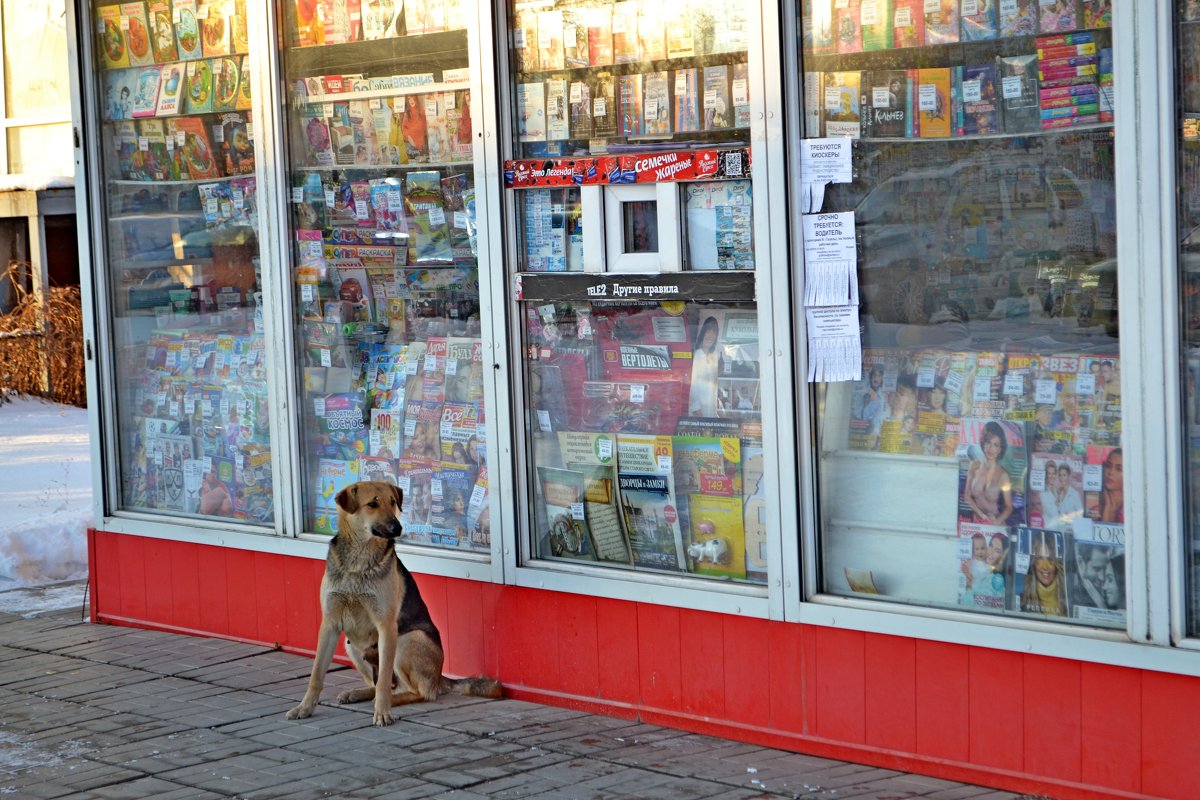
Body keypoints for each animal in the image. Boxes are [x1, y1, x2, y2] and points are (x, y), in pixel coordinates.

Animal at [286, 479, 501, 729]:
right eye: (372, 504)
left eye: (392, 502)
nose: (398, 527)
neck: (358, 560)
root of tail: (440, 677)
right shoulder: (329, 625)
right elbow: (316, 674)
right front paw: (304, 708)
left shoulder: (386, 626)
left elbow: (383, 683)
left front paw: (383, 713)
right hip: (351, 644)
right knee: (382, 683)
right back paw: (358, 693)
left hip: (407, 640)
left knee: (415, 691)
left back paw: (390, 700)